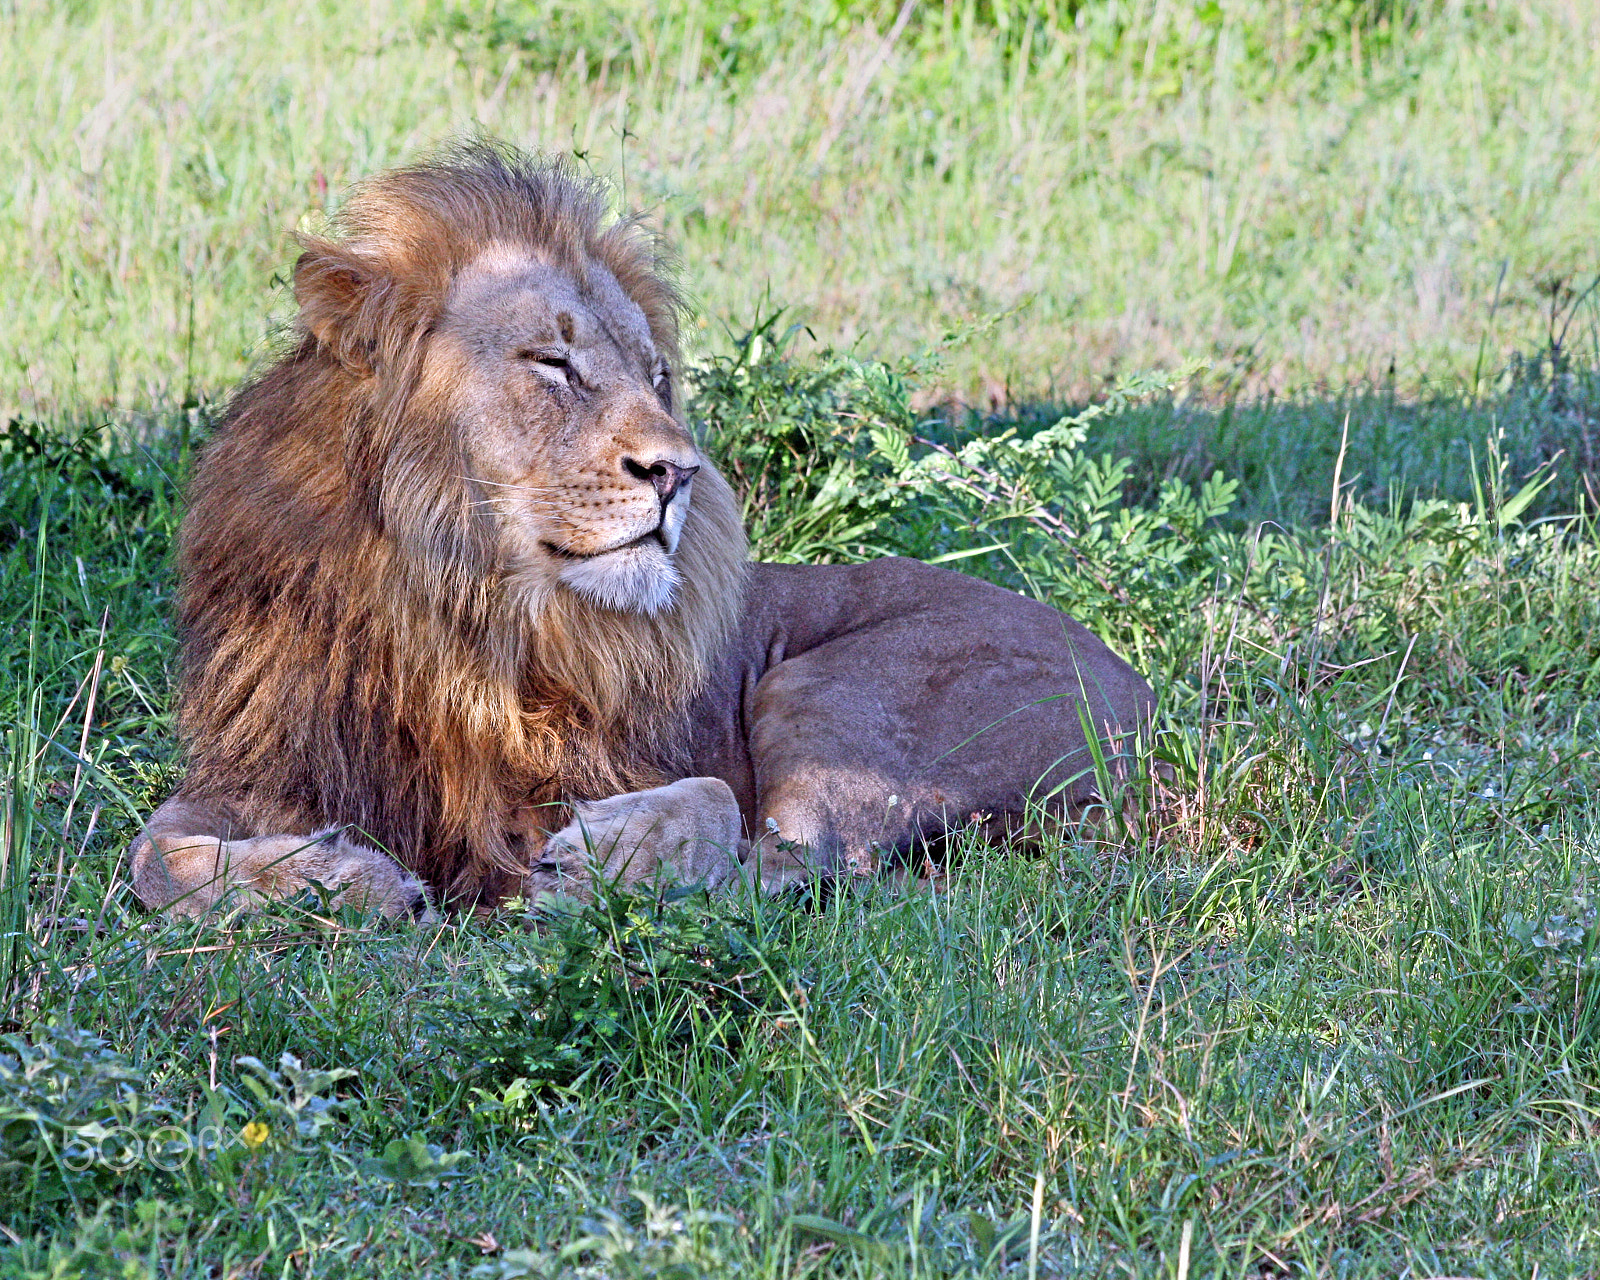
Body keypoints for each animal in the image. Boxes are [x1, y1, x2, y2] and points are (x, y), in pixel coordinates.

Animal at [129, 140, 1155, 919]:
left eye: (657, 377)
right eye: (553, 363)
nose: (678, 473)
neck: (450, 605)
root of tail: (1150, 693)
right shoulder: (273, 762)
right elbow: (151, 856)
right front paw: (347, 880)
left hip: (830, 687)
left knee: (781, 862)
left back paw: (598, 871)